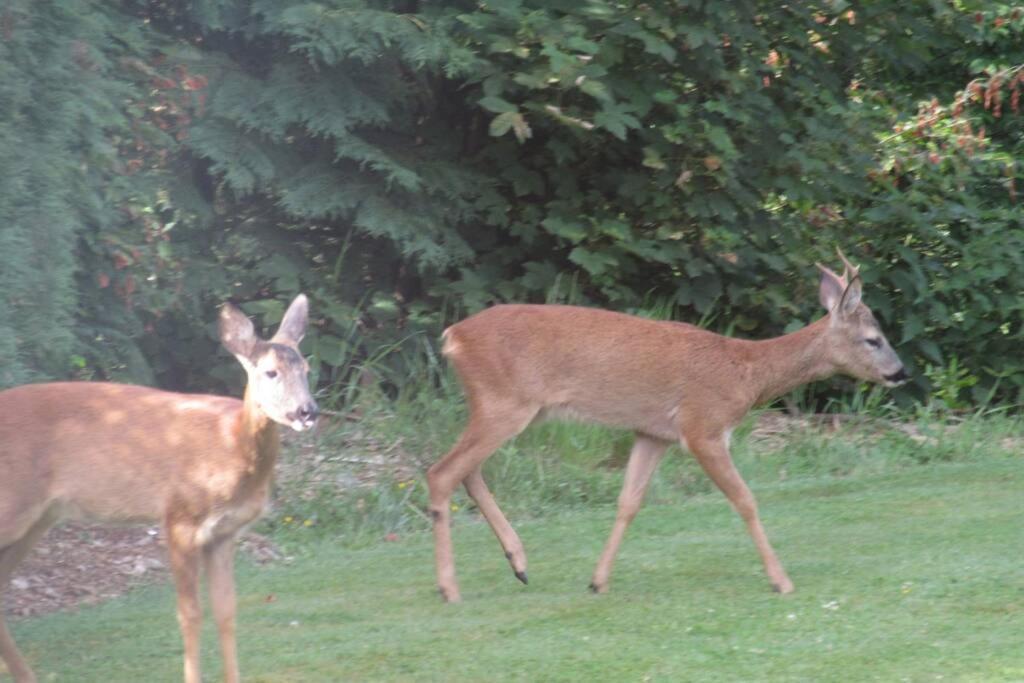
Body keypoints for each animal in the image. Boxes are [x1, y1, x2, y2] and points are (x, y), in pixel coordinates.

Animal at [0, 294, 315, 683]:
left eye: (306, 369)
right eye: (271, 372)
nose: (307, 411)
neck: (231, 447)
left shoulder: (225, 533)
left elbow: (226, 609)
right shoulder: (179, 516)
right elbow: (190, 614)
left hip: (39, 518)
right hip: (12, 503)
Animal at [428, 252, 909, 602]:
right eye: (873, 339)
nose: (900, 372)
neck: (745, 373)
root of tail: (453, 337)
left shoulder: (653, 433)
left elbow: (628, 502)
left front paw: (598, 581)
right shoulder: (703, 427)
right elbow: (746, 500)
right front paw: (781, 580)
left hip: (501, 406)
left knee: (467, 471)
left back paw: (519, 563)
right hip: (504, 402)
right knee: (442, 472)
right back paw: (450, 587)